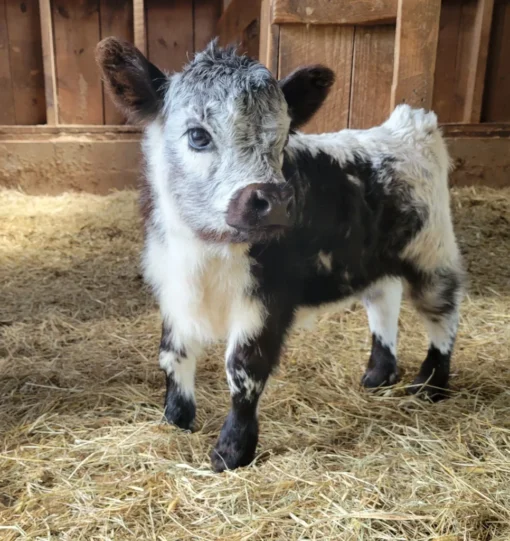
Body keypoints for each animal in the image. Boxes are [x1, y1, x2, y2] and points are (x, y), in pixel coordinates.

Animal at [96, 38, 466, 470]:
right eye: (198, 135)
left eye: (284, 136)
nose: (273, 201)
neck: (206, 251)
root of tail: (407, 126)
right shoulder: (172, 289)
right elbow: (173, 355)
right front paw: (176, 420)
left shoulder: (266, 300)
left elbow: (244, 369)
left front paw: (232, 451)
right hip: (375, 259)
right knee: (383, 300)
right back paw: (379, 374)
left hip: (433, 253)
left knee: (442, 314)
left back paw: (430, 385)